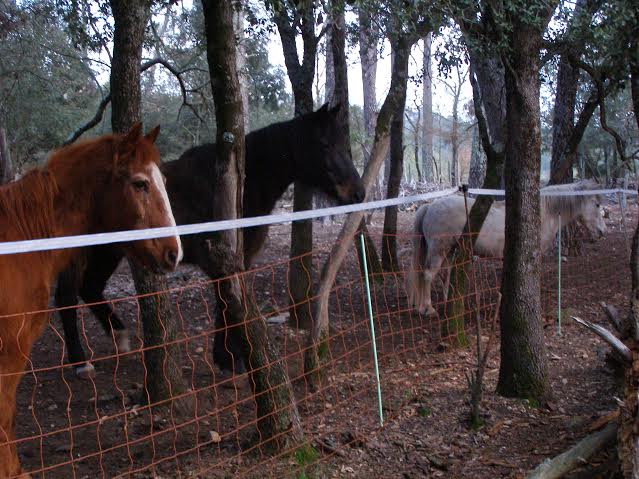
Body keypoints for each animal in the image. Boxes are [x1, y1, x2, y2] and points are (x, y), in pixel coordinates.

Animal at [56, 104, 364, 378]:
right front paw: (230, 358)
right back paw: (81, 363)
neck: (241, 185)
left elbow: (226, 304)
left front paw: (227, 357)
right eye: (324, 144)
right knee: (67, 297)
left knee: (89, 288)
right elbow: (225, 304)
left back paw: (119, 338)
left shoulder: (235, 258)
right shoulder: (218, 258)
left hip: (107, 252)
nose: (358, 192)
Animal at [408, 182, 608, 316]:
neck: (542, 214)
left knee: (445, 274)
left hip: (449, 251)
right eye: (597, 204)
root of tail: (430, 206)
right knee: (428, 275)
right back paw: (427, 309)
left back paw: (449, 302)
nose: (602, 231)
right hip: (438, 251)